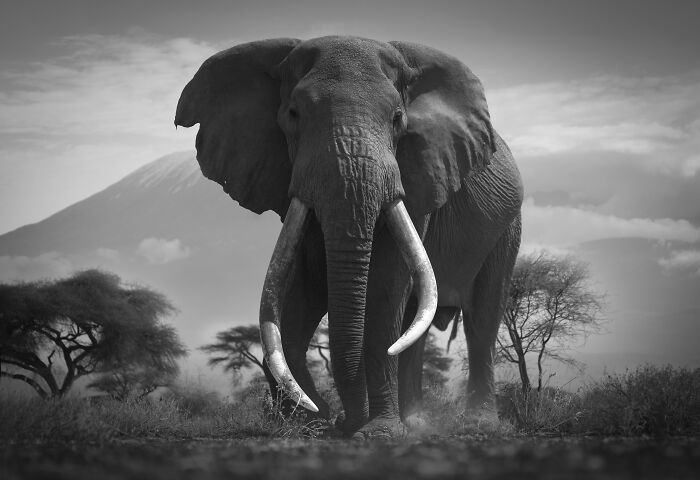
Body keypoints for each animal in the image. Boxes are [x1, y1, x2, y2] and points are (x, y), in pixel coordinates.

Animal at [175, 36, 523, 437]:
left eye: (398, 118)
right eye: (293, 114)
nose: (340, 420)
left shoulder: (419, 176)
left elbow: (387, 285)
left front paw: (377, 432)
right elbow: (303, 286)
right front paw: (304, 420)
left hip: (507, 227)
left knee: (481, 317)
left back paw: (478, 423)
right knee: (416, 325)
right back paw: (414, 422)